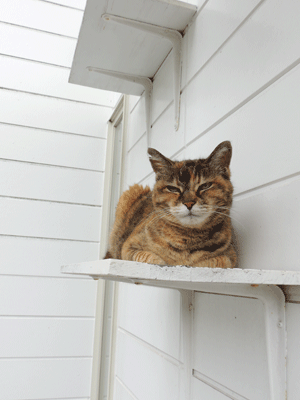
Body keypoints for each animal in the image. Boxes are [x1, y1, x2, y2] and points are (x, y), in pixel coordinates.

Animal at [105, 141, 237, 268]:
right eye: (173, 189)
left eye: (205, 186)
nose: (189, 203)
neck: (186, 240)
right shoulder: (128, 247)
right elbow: (147, 256)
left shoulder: (231, 257)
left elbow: (217, 261)